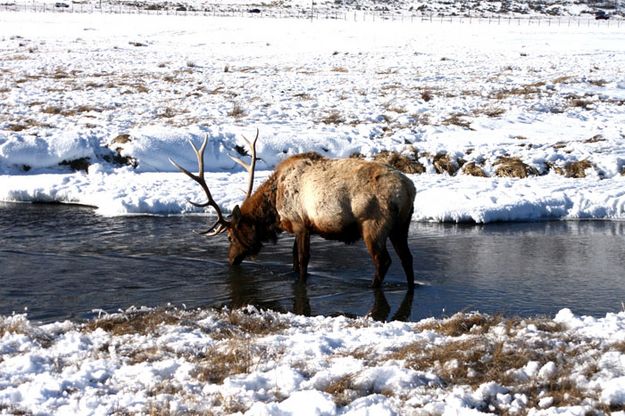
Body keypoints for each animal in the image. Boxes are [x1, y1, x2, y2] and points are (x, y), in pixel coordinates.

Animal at [169, 132, 414, 288]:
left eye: (230, 236)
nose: (231, 260)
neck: (275, 211)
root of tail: (408, 189)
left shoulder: (301, 223)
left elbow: (302, 260)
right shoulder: (299, 227)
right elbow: (294, 260)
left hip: (374, 225)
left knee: (383, 261)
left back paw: (372, 287)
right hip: (401, 226)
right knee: (406, 259)